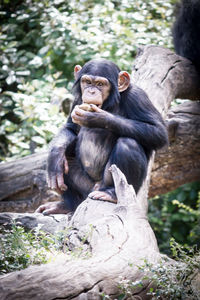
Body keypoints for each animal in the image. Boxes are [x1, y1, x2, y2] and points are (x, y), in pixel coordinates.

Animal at [35, 58, 167, 214]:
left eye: (100, 84)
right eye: (87, 82)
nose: (91, 91)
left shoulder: (137, 97)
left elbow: (158, 131)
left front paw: (97, 117)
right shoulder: (77, 100)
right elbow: (70, 128)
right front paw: (55, 157)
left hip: (117, 185)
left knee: (128, 144)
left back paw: (111, 194)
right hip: (85, 187)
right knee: (65, 158)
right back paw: (66, 205)